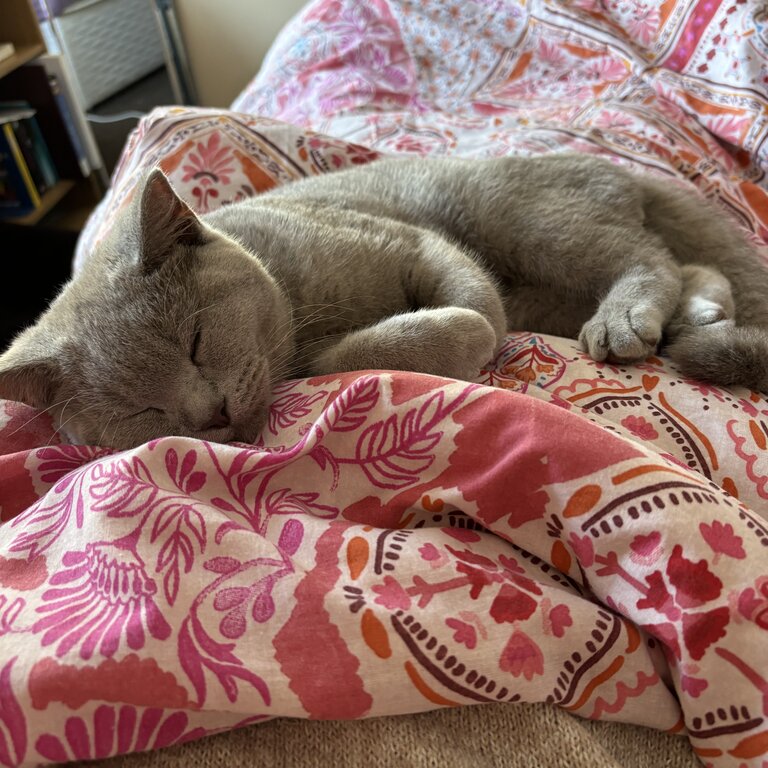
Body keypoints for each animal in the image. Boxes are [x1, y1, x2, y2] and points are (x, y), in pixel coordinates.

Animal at [1, 152, 768, 450]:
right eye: (140, 413)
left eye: (194, 339)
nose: (209, 414)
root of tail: (618, 168)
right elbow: (346, 355)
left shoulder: (412, 240)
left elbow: (472, 306)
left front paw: (460, 329)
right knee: (691, 263)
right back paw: (701, 312)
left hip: (526, 218)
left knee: (650, 257)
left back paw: (625, 318)